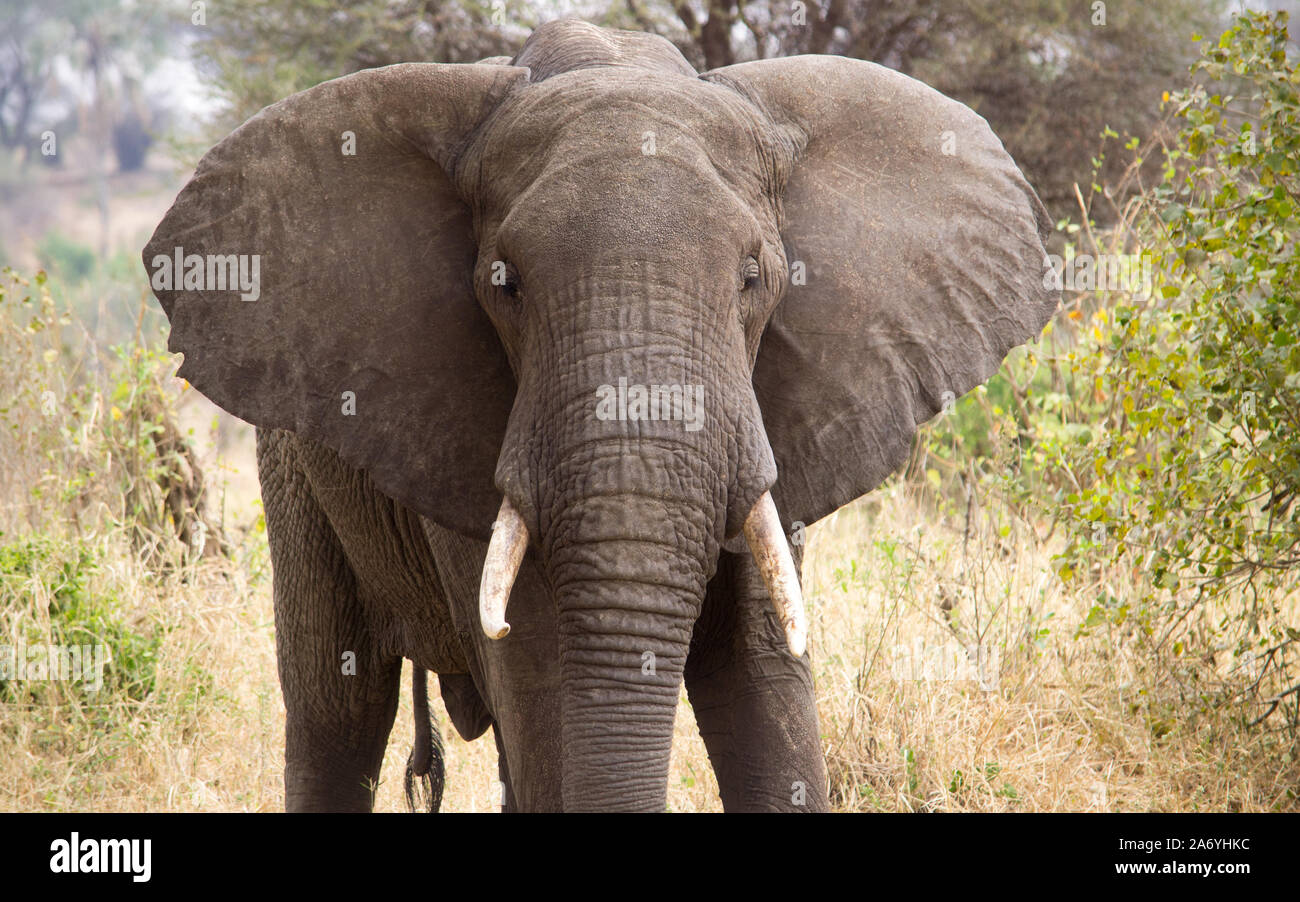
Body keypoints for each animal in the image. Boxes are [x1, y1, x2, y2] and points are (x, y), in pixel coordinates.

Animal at [139, 17, 1055, 816]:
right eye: (504, 283)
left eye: (754, 277)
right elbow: (546, 683)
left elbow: (763, 686)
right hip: (292, 461)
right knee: (339, 710)